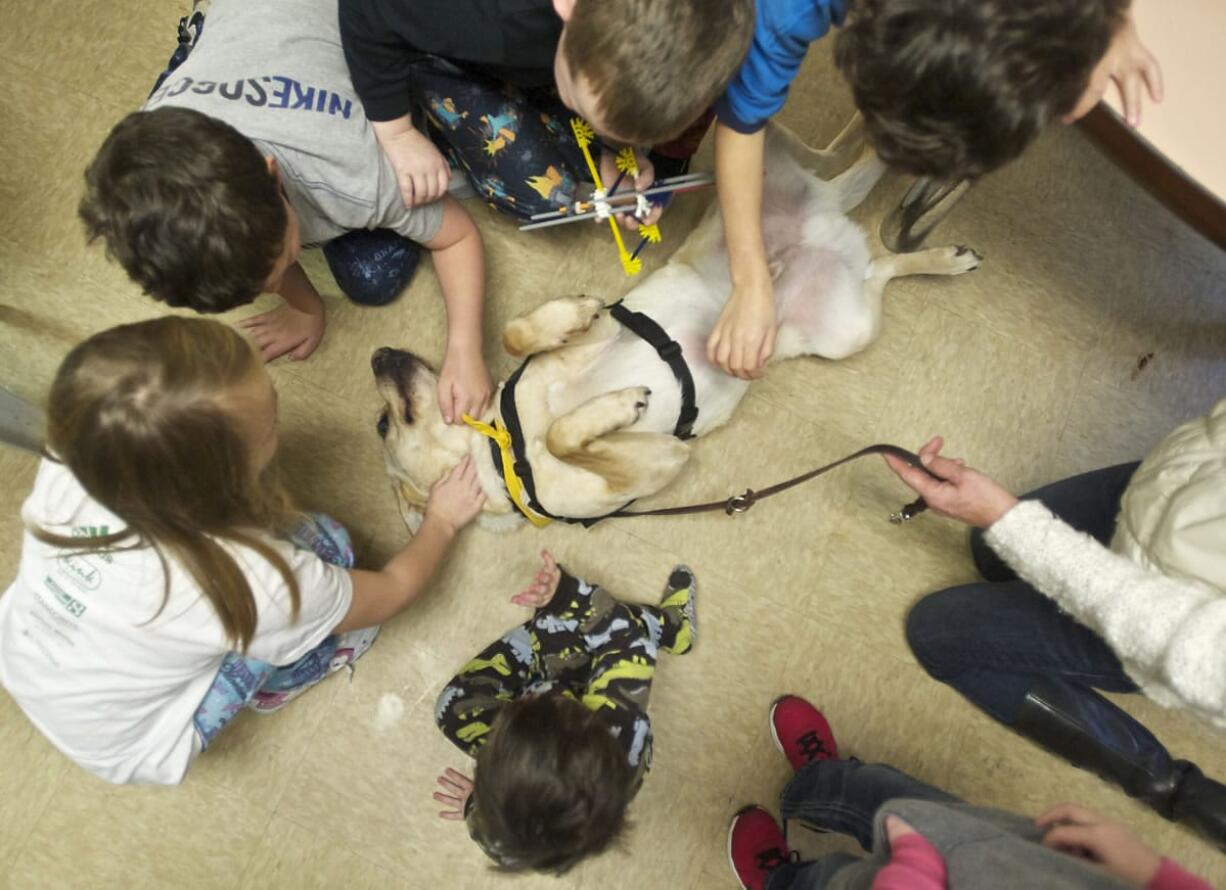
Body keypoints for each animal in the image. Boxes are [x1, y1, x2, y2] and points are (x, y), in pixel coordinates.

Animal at [367, 121, 980, 534]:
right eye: (382, 424)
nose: (378, 354)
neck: (505, 449)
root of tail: (826, 218)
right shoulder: (660, 460)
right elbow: (567, 434)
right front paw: (618, 405)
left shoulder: (604, 334)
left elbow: (515, 334)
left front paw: (570, 315)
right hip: (846, 329)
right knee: (880, 265)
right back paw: (944, 252)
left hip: (758, 167)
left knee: (808, 145)